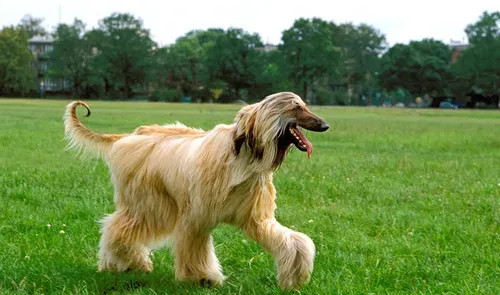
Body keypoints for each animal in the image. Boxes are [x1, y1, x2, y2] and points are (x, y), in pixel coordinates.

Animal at [63, 91, 328, 290]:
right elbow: (194, 243)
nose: (325, 125)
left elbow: (292, 240)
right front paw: (202, 277)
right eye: (296, 108)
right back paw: (122, 263)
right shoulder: (197, 215)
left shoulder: (254, 215)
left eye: (305, 105)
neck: (245, 157)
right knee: (119, 227)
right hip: (149, 201)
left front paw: (295, 275)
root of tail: (129, 136)